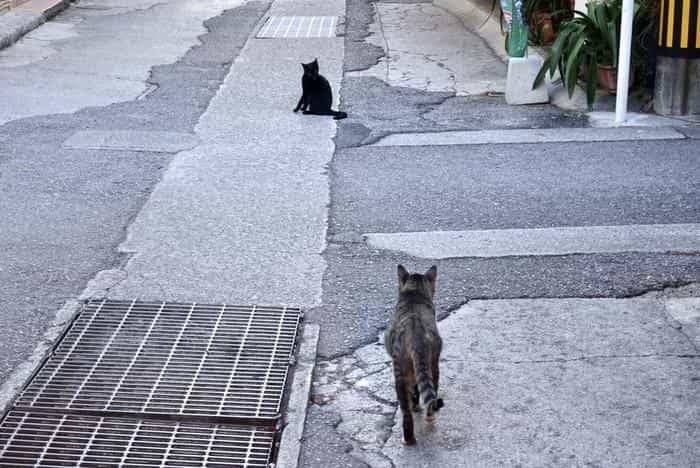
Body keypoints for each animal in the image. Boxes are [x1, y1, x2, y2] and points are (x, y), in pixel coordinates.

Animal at [382, 266, 442, 444]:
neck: (414, 296)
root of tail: (416, 335)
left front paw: (415, 406)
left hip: (400, 372)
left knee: (406, 412)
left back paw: (408, 438)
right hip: (433, 365)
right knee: (432, 394)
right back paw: (428, 417)